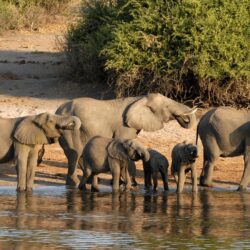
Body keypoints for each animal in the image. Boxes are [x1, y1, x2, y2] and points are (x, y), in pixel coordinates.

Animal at [55, 93, 197, 187]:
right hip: (70, 130)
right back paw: (74, 184)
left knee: (79, 154)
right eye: (167, 106)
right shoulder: (124, 126)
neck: (139, 99)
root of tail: (58, 110)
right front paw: (128, 183)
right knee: (74, 153)